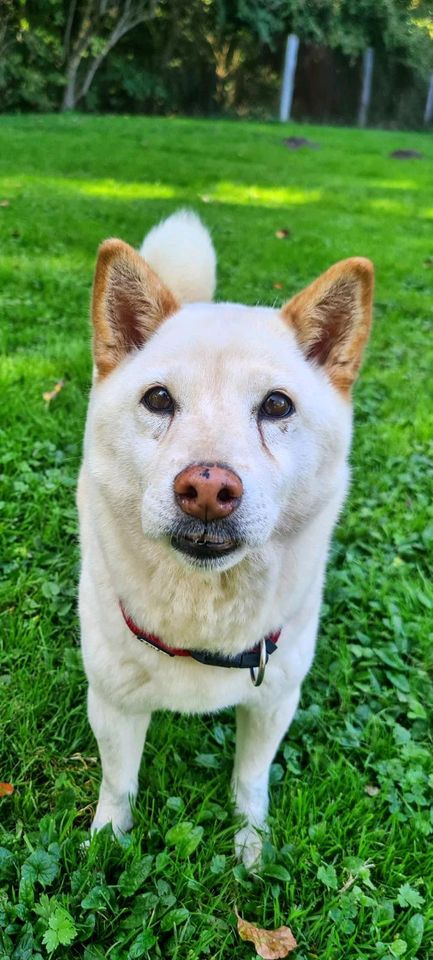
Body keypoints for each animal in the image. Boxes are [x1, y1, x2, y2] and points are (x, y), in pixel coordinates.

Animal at [79, 210, 372, 872]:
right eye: (159, 398)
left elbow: (250, 781)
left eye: (277, 405)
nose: (208, 488)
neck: (203, 621)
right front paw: (106, 844)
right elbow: (118, 783)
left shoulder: (274, 699)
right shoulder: (112, 701)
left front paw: (251, 848)